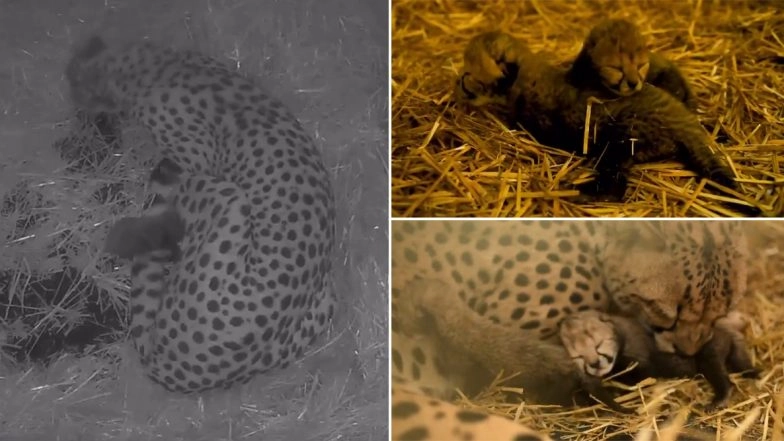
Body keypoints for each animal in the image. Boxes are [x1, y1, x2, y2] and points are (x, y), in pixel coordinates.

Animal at [66, 35, 336, 393]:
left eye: (75, 85)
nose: (74, 102)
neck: (153, 67)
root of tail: (166, 366)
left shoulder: (191, 163)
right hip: (324, 303)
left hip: (226, 195)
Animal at [454, 32, 748, 207]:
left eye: (469, 73)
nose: (458, 84)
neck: (526, 78)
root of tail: (684, 121)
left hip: (619, 143)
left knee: (615, 188)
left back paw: (576, 192)